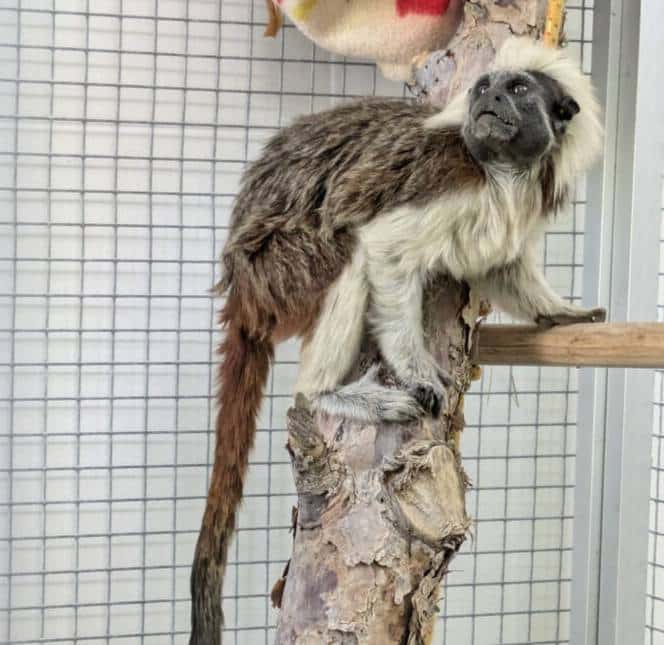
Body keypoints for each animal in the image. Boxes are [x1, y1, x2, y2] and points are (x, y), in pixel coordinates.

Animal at [189, 38, 604, 645]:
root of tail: (241, 290)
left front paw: (563, 314)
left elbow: (503, 269)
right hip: (280, 270)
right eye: (484, 87)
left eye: (518, 89)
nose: (486, 100)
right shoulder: (451, 181)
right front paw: (415, 371)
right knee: (346, 252)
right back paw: (328, 393)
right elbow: (384, 248)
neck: (505, 173)